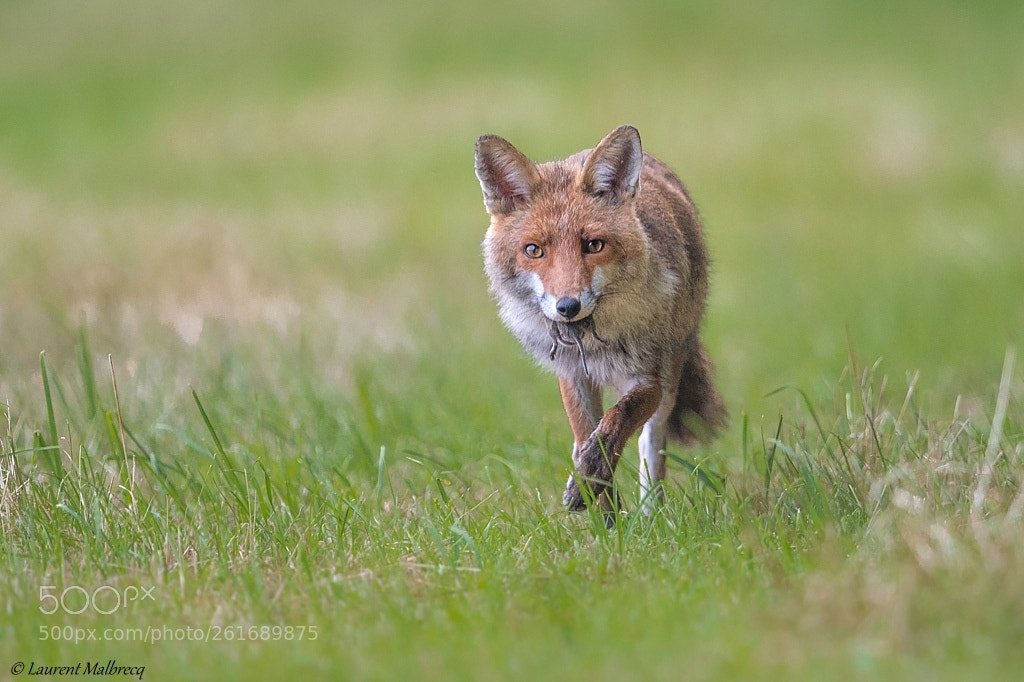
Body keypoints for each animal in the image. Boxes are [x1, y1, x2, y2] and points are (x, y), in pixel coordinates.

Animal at [474, 124, 726, 518]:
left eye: (594, 245)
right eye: (534, 250)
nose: (567, 306)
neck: (591, 341)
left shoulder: (649, 377)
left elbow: (615, 425)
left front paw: (591, 485)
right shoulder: (572, 374)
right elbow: (588, 438)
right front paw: (603, 510)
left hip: (671, 375)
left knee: (651, 450)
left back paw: (651, 516)